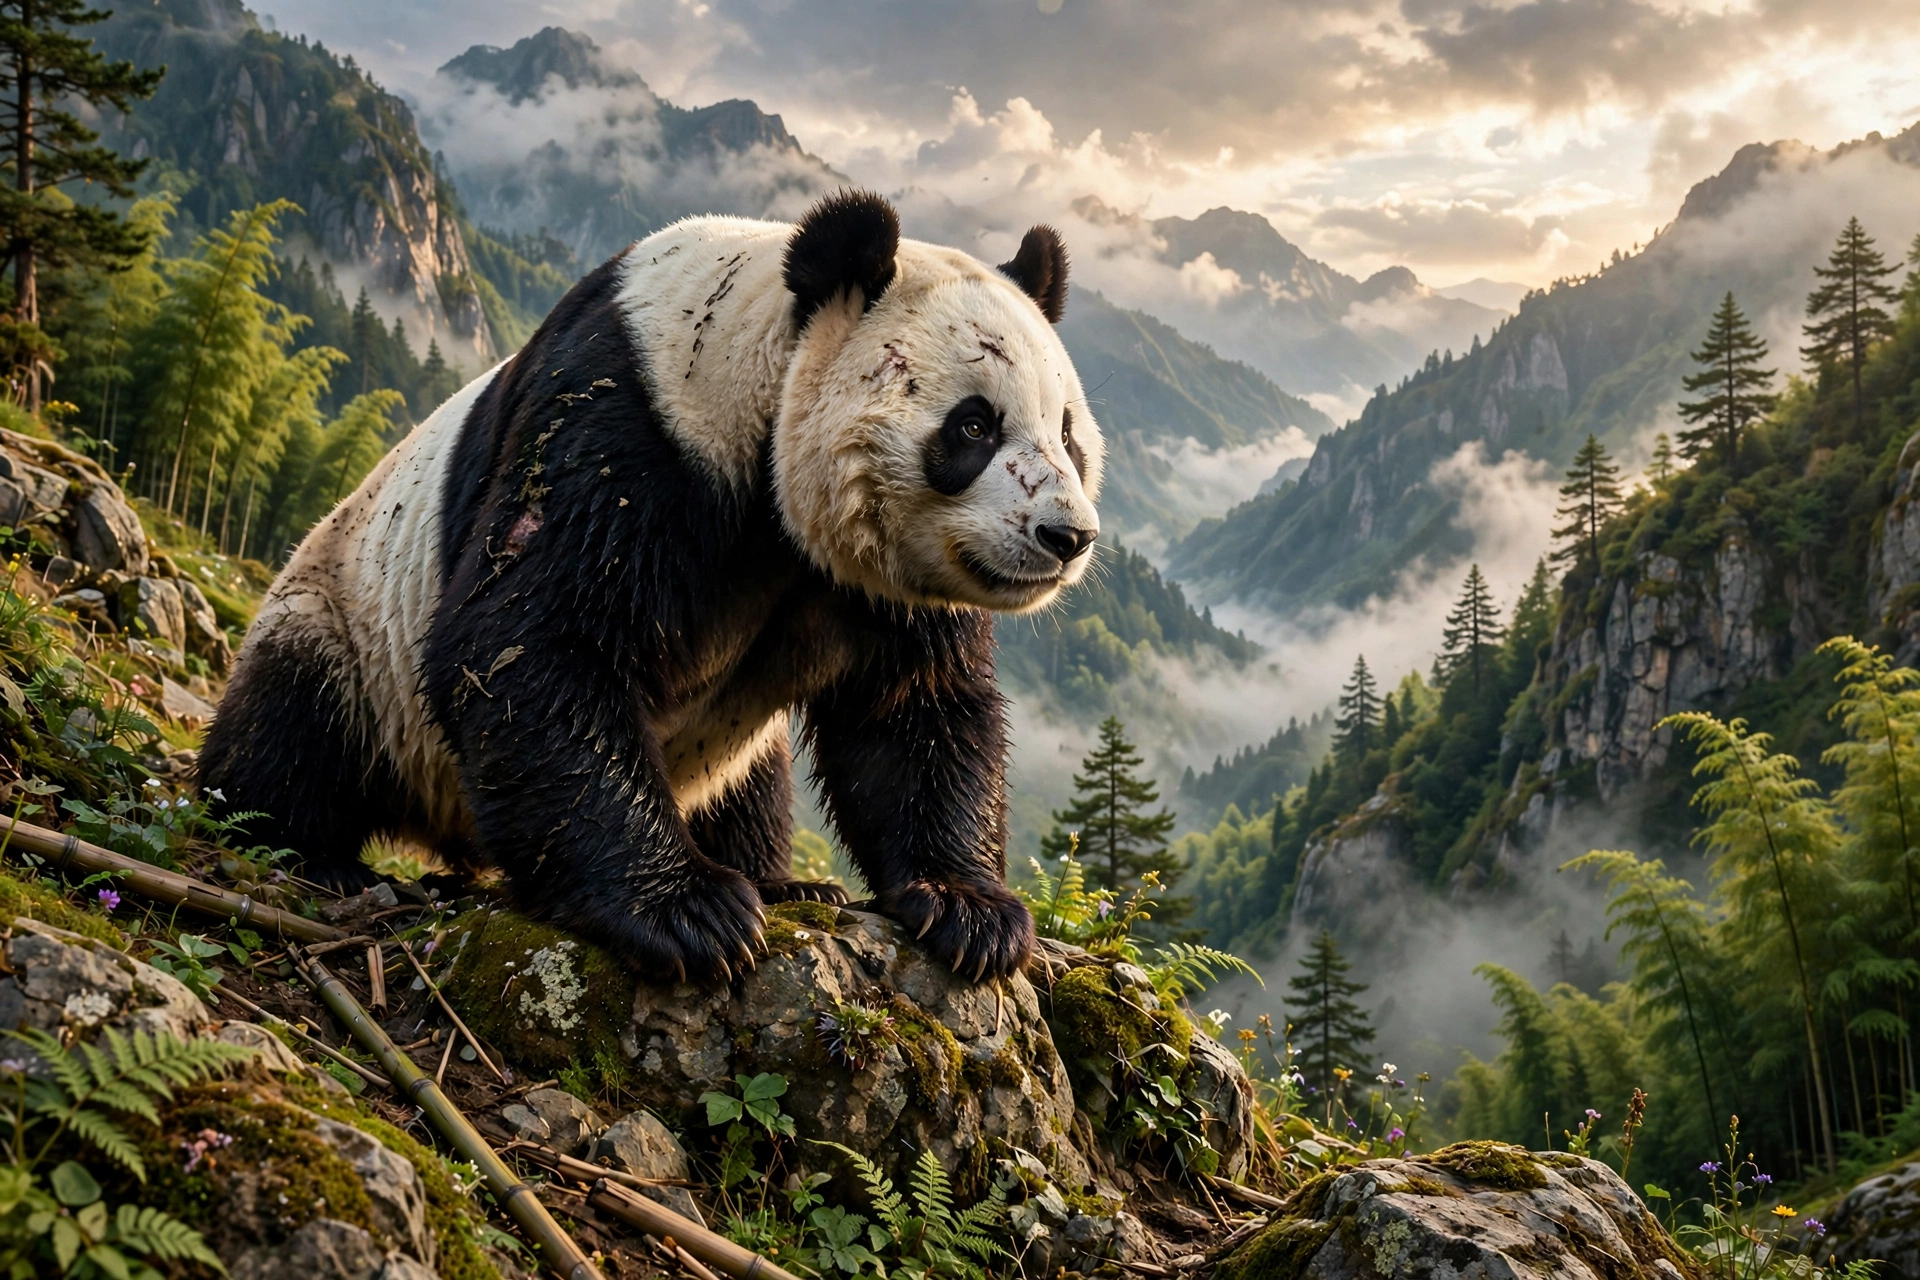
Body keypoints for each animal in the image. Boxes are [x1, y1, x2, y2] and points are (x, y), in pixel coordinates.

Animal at [199, 190, 1103, 984]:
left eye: (1066, 434)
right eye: (973, 425)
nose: (1067, 537)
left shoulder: (879, 579)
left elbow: (916, 705)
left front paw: (969, 912)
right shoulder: (632, 428)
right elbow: (534, 641)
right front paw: (689, 914)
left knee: (751, 784)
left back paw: (786, 882)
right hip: (346, 611)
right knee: (293, 726)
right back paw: (307, 852)